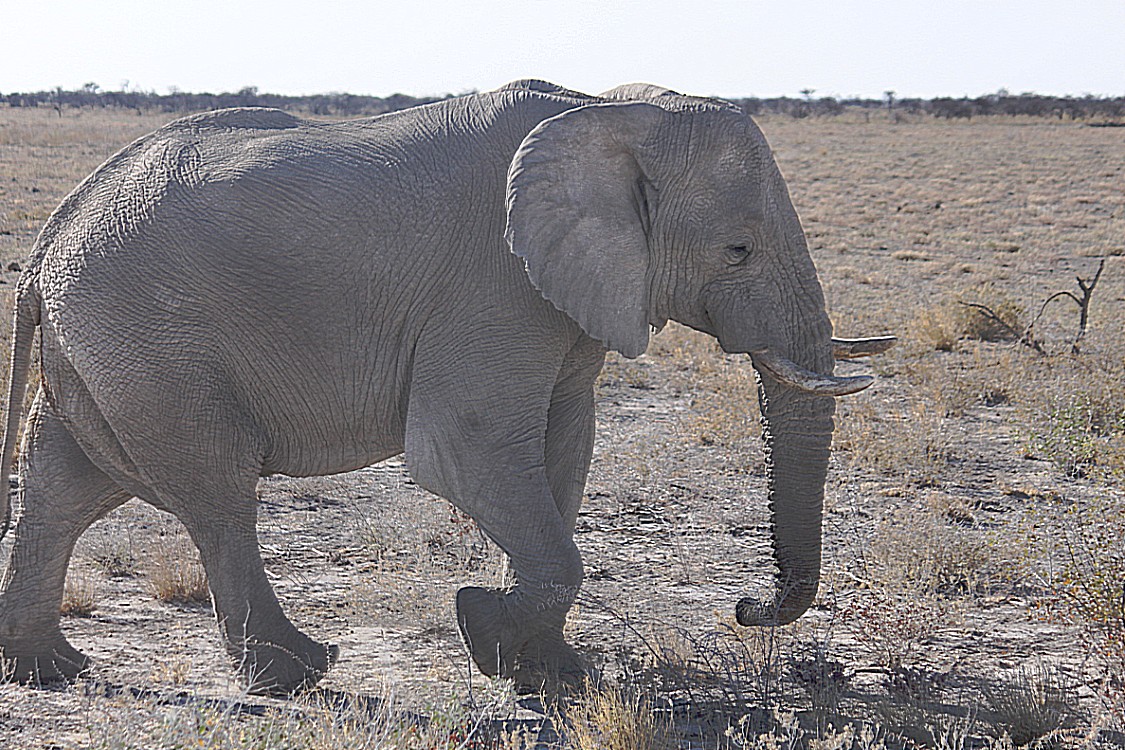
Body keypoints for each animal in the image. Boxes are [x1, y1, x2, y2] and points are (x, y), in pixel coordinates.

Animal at [0, 79, 895, 697]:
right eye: (737, 249)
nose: (746, 609)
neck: (610, 109)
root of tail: (51, 237)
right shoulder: (493, 284)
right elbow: (464, 453)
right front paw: (483, 631)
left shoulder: (560, 301)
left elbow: (563, 453)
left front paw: (553, 674)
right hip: (151, 339)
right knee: (215, 494)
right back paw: (296, 674)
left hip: (105, 346)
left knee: (68, 486)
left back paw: (50, 669)